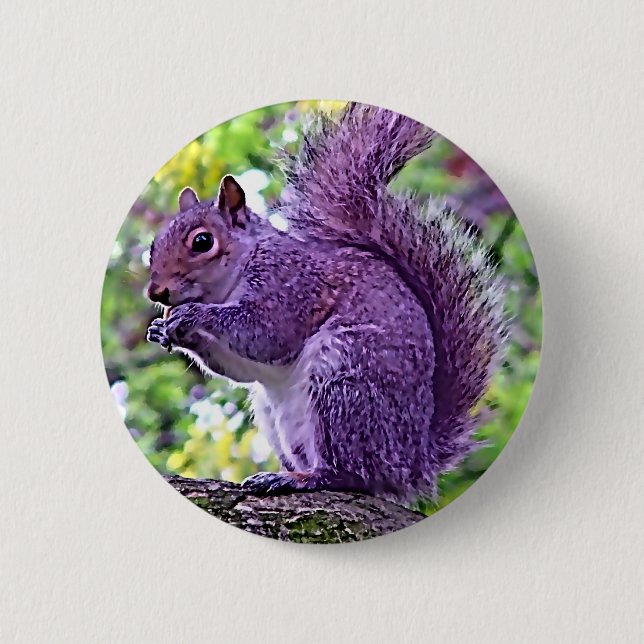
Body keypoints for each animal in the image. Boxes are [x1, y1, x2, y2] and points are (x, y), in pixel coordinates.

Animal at [145, 103, 506, 503]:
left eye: (203, 241)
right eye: (155, 244)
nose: (156, 293)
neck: (240, 269)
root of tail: (411, 466)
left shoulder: (290, 287)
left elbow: (266, 335)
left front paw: (193, 315)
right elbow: (244, 368)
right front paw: (163, 330)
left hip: (343, 381)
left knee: (351, 473)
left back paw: (301, 479)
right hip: (277, 413)